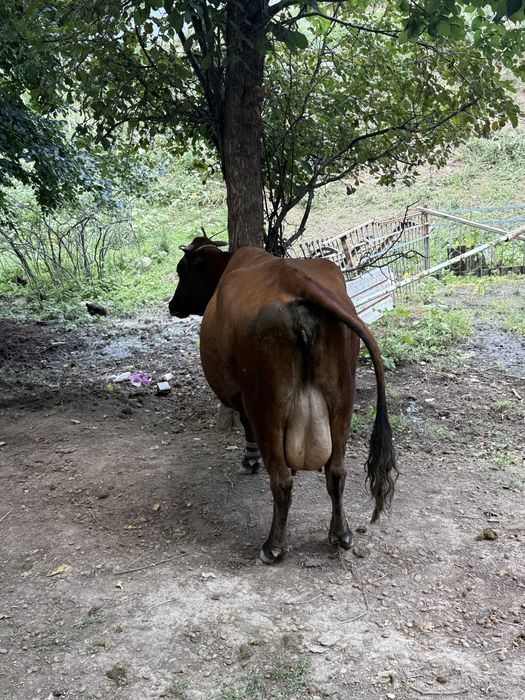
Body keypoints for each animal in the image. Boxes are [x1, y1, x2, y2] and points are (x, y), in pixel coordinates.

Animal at [169, 236, 397, 564]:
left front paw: (249, 460)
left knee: (281, 480)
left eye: (182, 271)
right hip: (342, 399)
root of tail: (294, 280)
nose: (172, 305)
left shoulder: (242, 397)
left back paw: (273, 546)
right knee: (336, 472)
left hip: (266, 405)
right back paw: (341, 534)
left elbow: (245, 427)